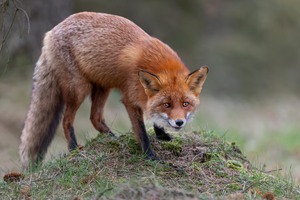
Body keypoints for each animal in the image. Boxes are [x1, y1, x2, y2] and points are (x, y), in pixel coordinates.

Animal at [18, 12, 206, 169]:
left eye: (185, 104)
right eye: (167, 105)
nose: (179, 122)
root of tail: (50, 33)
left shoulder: (145, 97)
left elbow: (153, 117)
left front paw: (161, 134)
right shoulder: (130, 100)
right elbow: (142, 133)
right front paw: (150, 156)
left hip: (103, 87)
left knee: (95, 118)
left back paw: (114, 138)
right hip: (79, 89)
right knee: (67, 120)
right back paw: (74, 149)